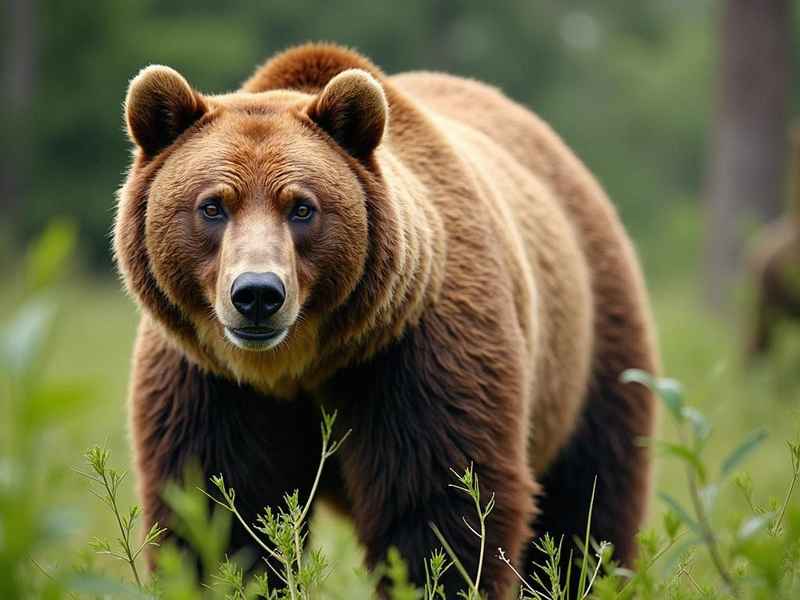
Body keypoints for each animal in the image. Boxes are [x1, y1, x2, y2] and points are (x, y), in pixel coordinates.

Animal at [114, 43, 658, 598]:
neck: (298, 368)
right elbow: (220, 509)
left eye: (302, 208)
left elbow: (441, 509)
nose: (258, 294)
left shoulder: (418, 355)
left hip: (590, 347)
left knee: (587, 507)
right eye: (213, 206)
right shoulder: (211, 383)